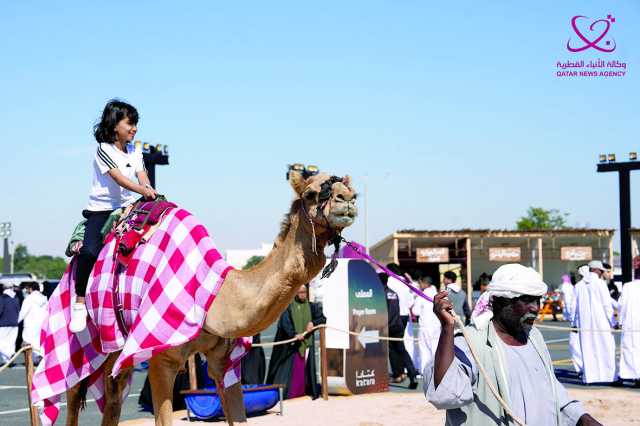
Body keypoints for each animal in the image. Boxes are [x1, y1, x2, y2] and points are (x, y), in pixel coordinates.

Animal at [67, 171, 358, 426]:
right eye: (310, 193)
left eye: (347, 186)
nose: (348, 199)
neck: (214, 294)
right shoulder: (162, 359)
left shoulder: (222, 358)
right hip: (81, 343)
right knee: (73, 396)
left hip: (114, 348)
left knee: (113, 391)